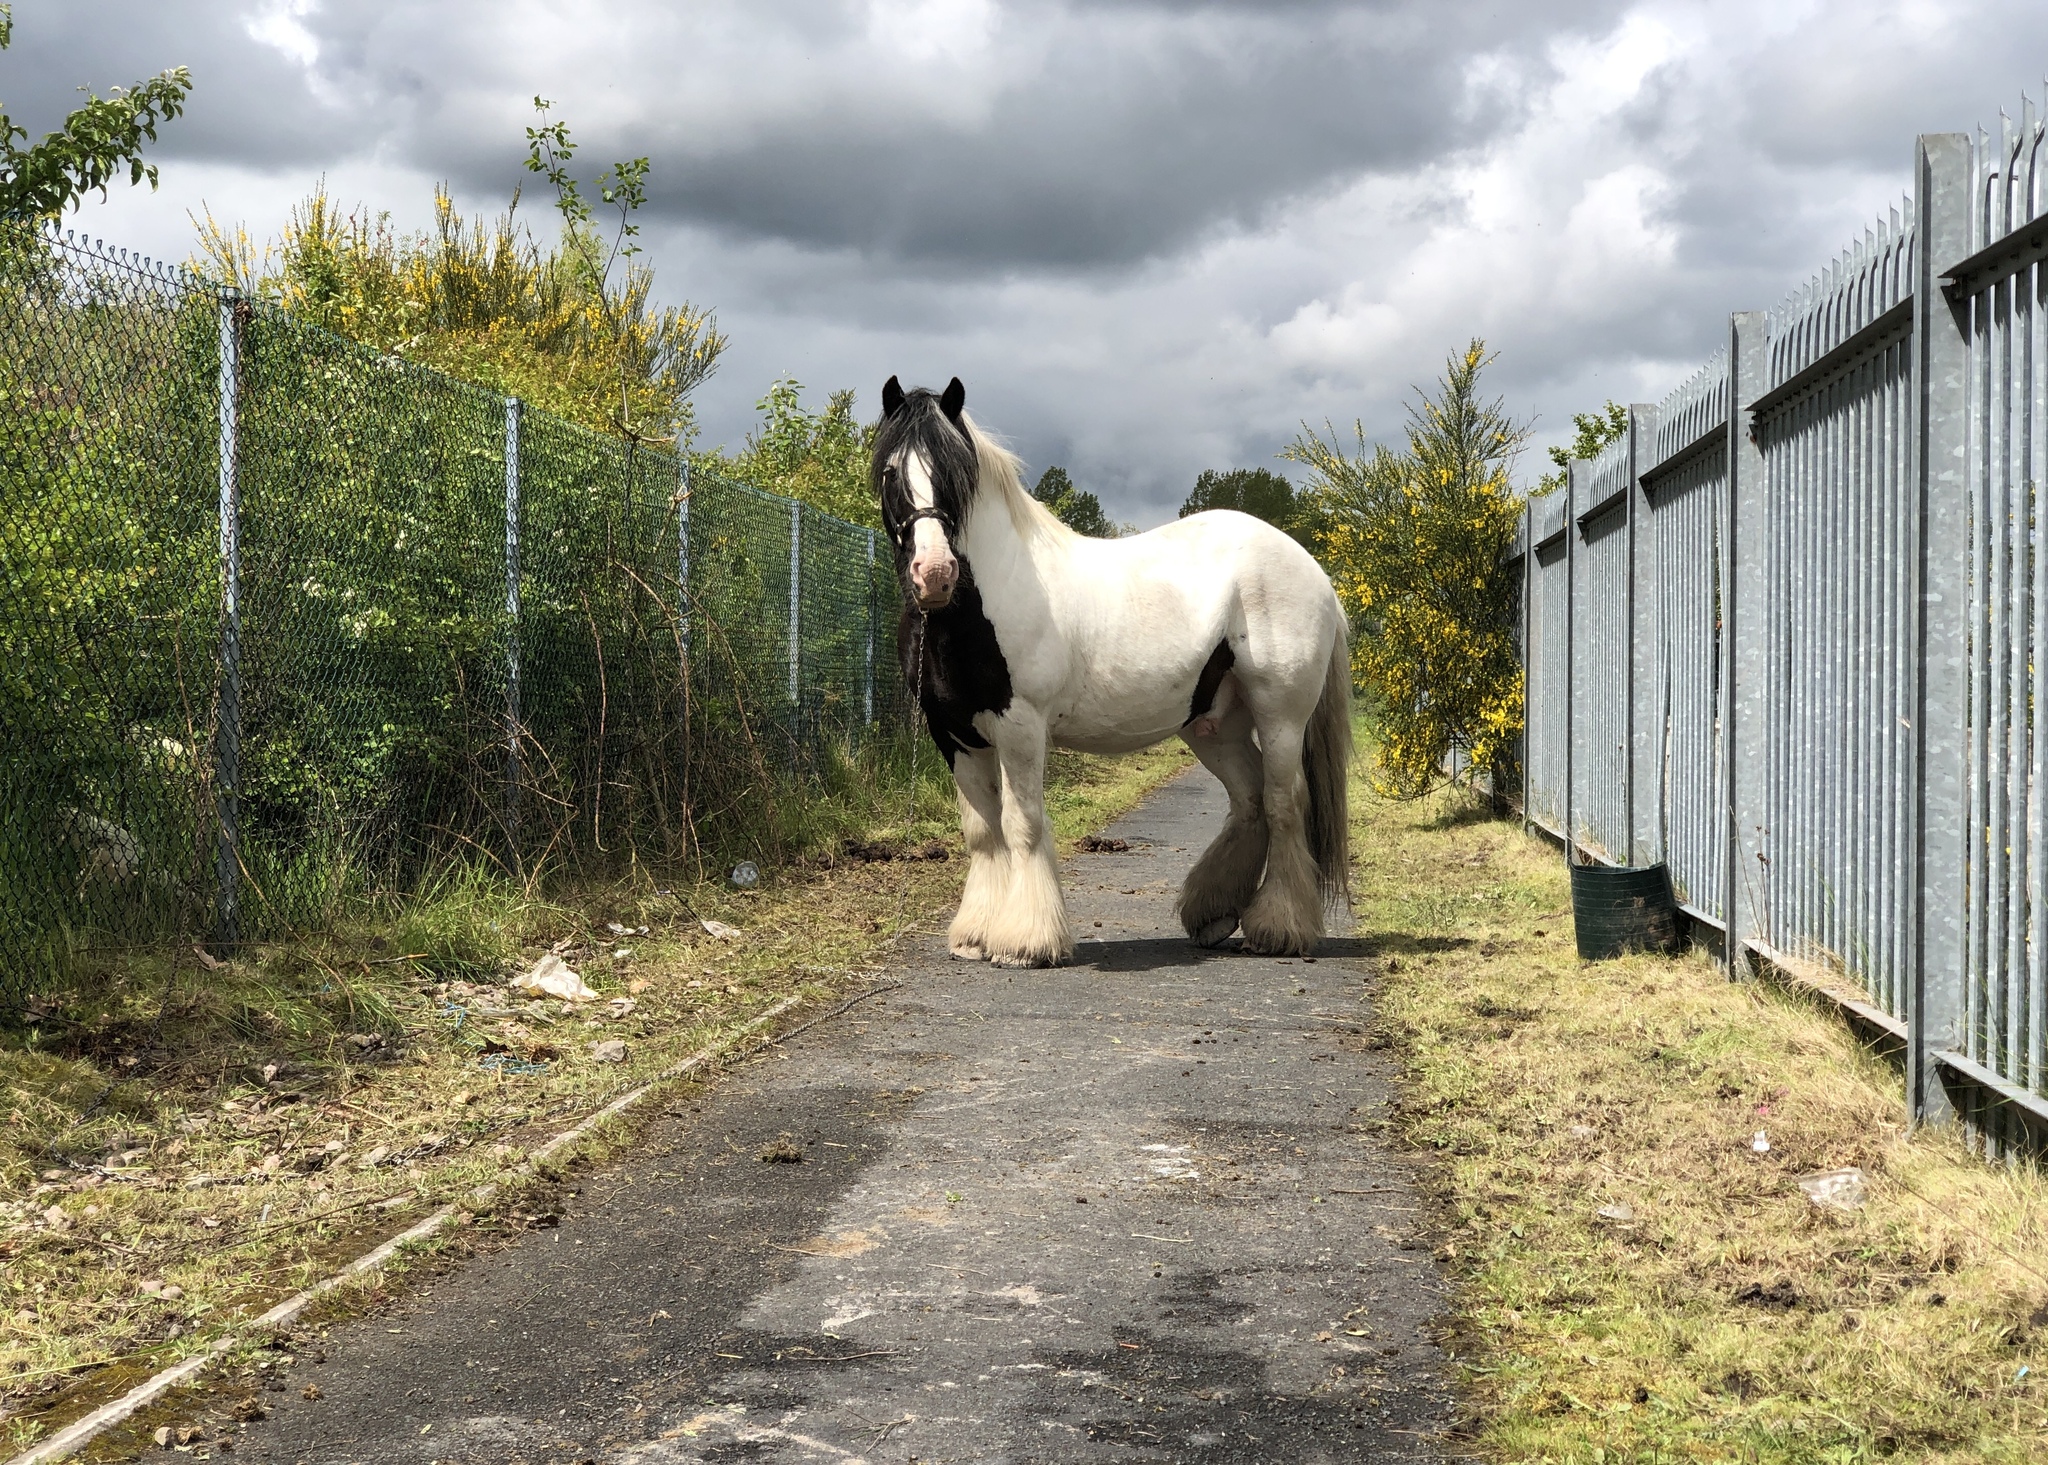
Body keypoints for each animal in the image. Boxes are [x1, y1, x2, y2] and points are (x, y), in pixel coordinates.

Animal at [872, 379, 1351, 967]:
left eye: (957, 473)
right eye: (891, 472)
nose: (935, 574)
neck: (978, 604)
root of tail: (1314, 572)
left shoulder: (1020, 728)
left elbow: (1021, 824)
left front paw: (1028, 940)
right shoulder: (955, 735)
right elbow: (982, 832)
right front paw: (976, 935)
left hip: (1281, 717)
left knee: (1285, 803)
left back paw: (1278, 928)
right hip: (1215, 725)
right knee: (1250, 800)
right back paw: (1213, 914)